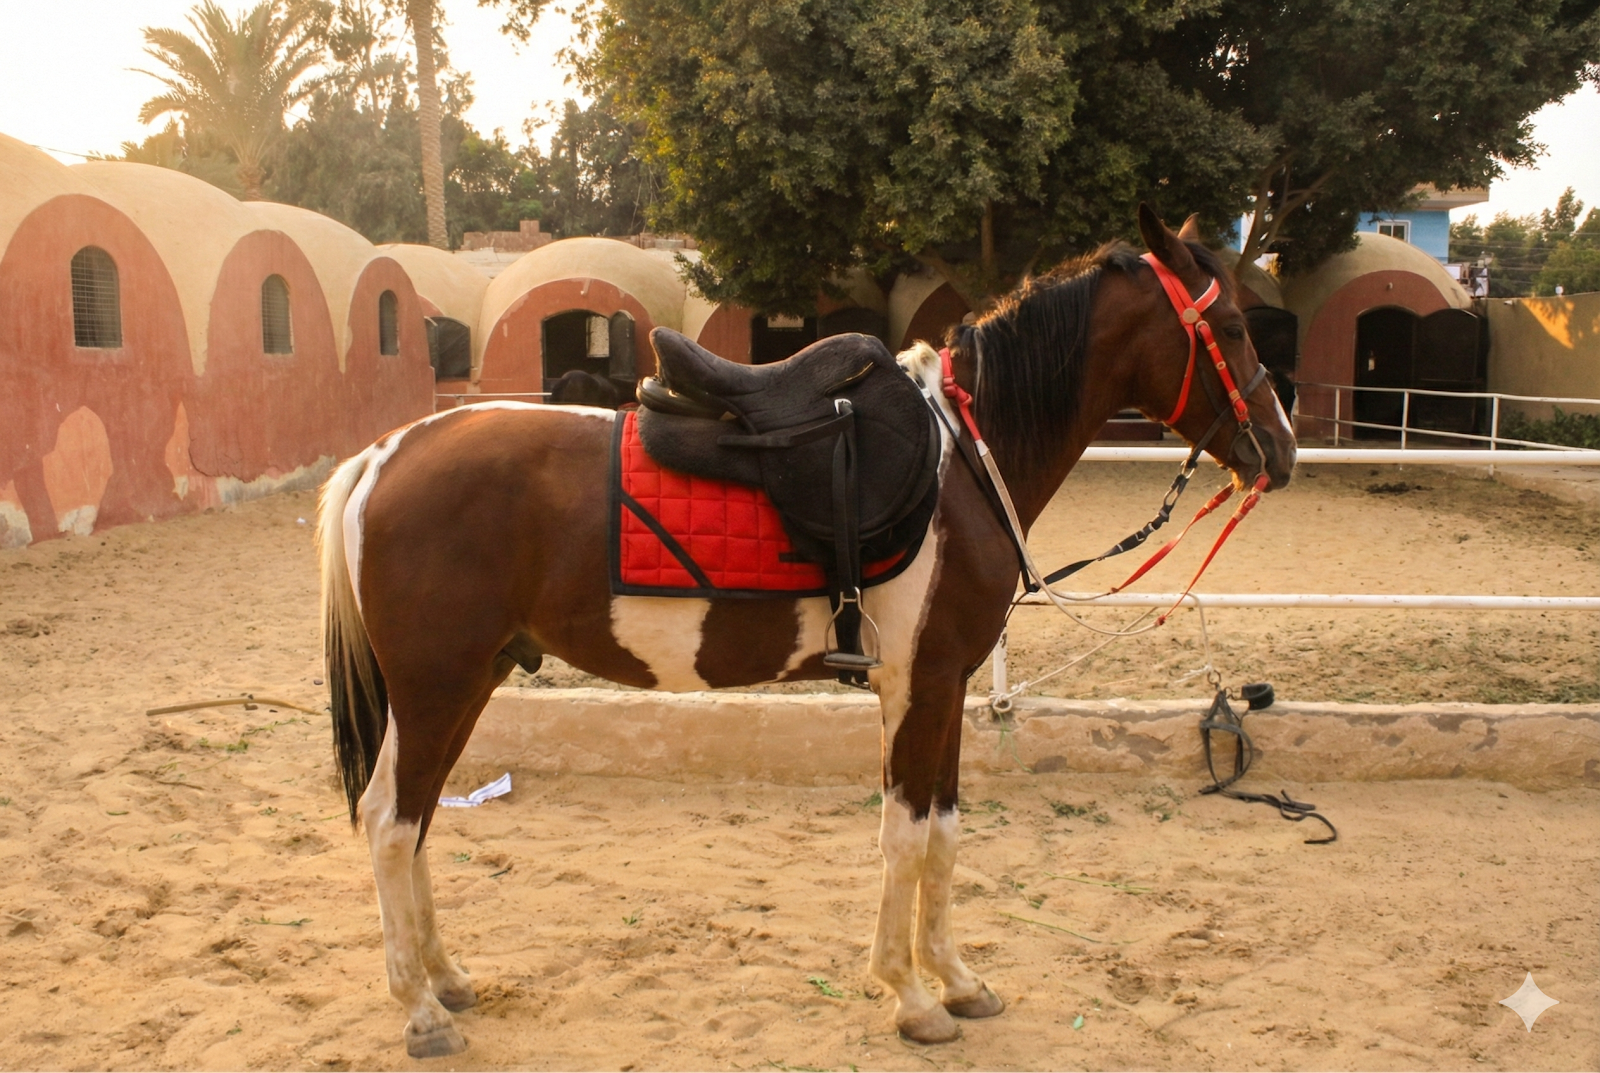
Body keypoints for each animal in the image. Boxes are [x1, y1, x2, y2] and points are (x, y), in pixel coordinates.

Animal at [316, 206, 1296, 1058]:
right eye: (1234, 327)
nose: (1281, 451)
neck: (960, 464)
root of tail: (382, 455)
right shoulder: (918, 686)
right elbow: (907, 836)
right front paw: (911, 996)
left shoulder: (945, 687)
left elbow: (945, 833)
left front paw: (958, 980)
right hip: (436, 687)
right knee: (391, 823)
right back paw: (421, 1011)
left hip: (469, 682)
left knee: (415, 820)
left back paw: (447, 979)